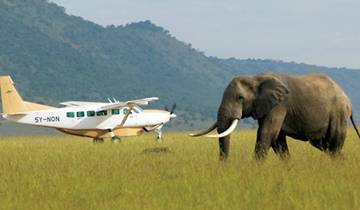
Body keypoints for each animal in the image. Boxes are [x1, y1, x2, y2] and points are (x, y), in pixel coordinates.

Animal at [191, 72, 360, 159]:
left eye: (240, 98)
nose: (224, 167)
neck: (256, 78)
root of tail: (348, 100)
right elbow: (277, 140)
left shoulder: (279, 105)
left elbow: (267, 133)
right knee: (324, 145)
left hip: (339, 113)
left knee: (333, 143)